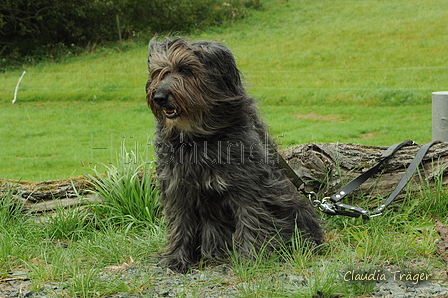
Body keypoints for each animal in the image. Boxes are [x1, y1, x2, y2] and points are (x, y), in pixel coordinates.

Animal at [145, 36, 324, 272]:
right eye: (159, 72)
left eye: (185, 69)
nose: (159, 97)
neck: (199, 138)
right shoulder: (177, 188)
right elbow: (179, 223)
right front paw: (176, 258)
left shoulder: (249, 185)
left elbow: (251, 219)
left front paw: (250, 259)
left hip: (296, 208)